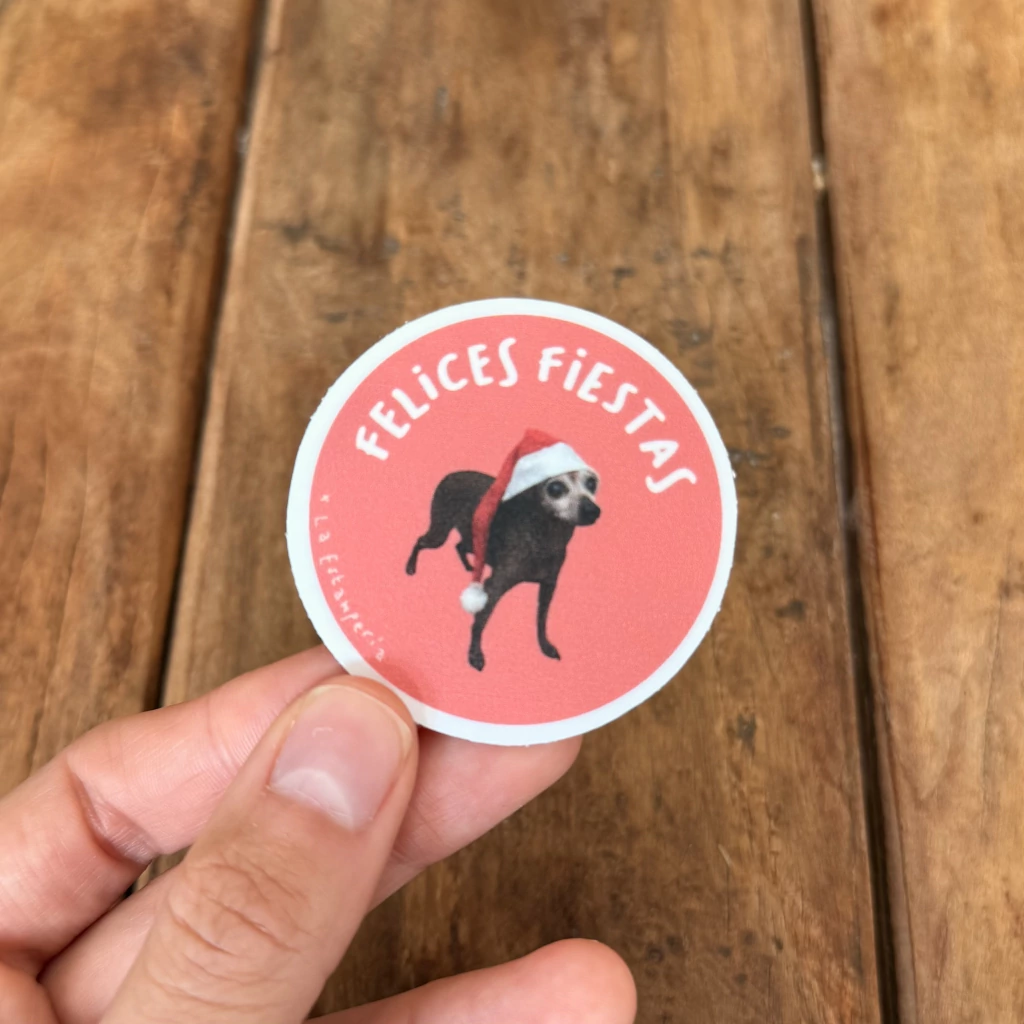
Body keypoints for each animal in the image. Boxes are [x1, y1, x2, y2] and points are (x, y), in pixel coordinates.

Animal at [405, 468, 601, 670]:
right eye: (555, 488)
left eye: (592, 483)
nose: (592, 510)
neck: (545, 537)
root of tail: (452, 474)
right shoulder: (495, 586)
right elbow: (480, 621)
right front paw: (475, 654)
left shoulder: (549, 585)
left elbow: (542, 620)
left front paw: (545, 645)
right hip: (440, 532)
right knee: (420, 541)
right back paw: (411, 566)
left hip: (473, 539)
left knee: (459, 546)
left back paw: (469, 566)